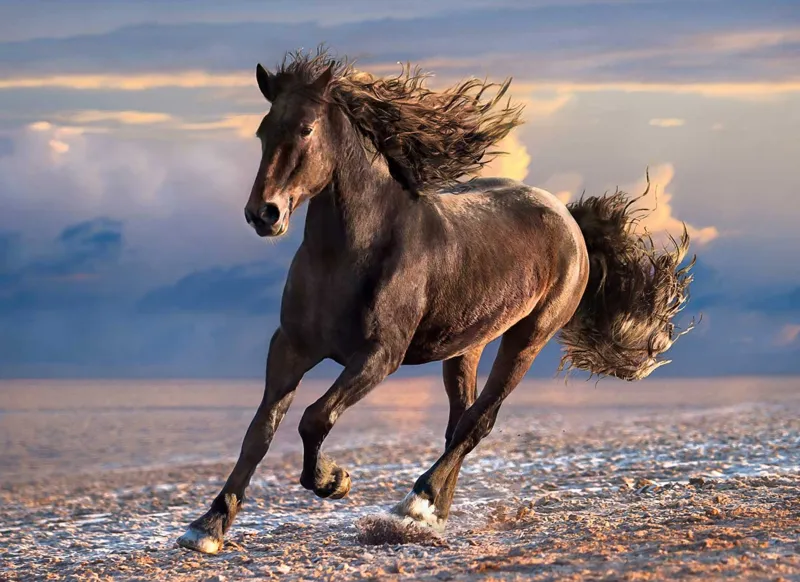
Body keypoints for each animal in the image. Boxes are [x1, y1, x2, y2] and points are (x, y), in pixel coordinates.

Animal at [177, 48, 694, 554]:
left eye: (306, 128)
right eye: (263, 131)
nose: (263, 214)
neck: (350, 255)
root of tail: (567, 218)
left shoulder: (379, 356)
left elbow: (314, 417)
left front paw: (334, 481)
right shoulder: (290, 347)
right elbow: (260, 432)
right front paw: (208, 526)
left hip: (528, 338)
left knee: (478, 421)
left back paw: (417, 503)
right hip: (467, 345)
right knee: (459, 421)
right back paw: (433, 513)